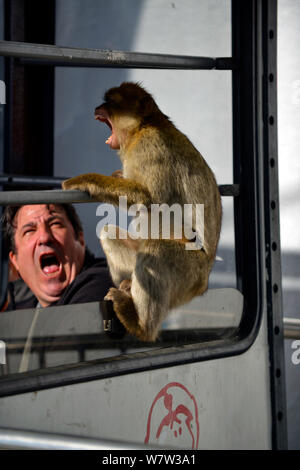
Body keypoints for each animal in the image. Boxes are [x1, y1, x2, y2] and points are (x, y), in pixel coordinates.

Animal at [62, 81, 221, 342]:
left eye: (111, 101)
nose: (98, 107)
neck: (142, 128)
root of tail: (205, 280)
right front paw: (116, 175)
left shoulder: (150, 147)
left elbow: (146, 197)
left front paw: (86, 180)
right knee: (110, 234)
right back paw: (128, 287)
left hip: (190, 273)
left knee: (156, 250)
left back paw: (140, 325)